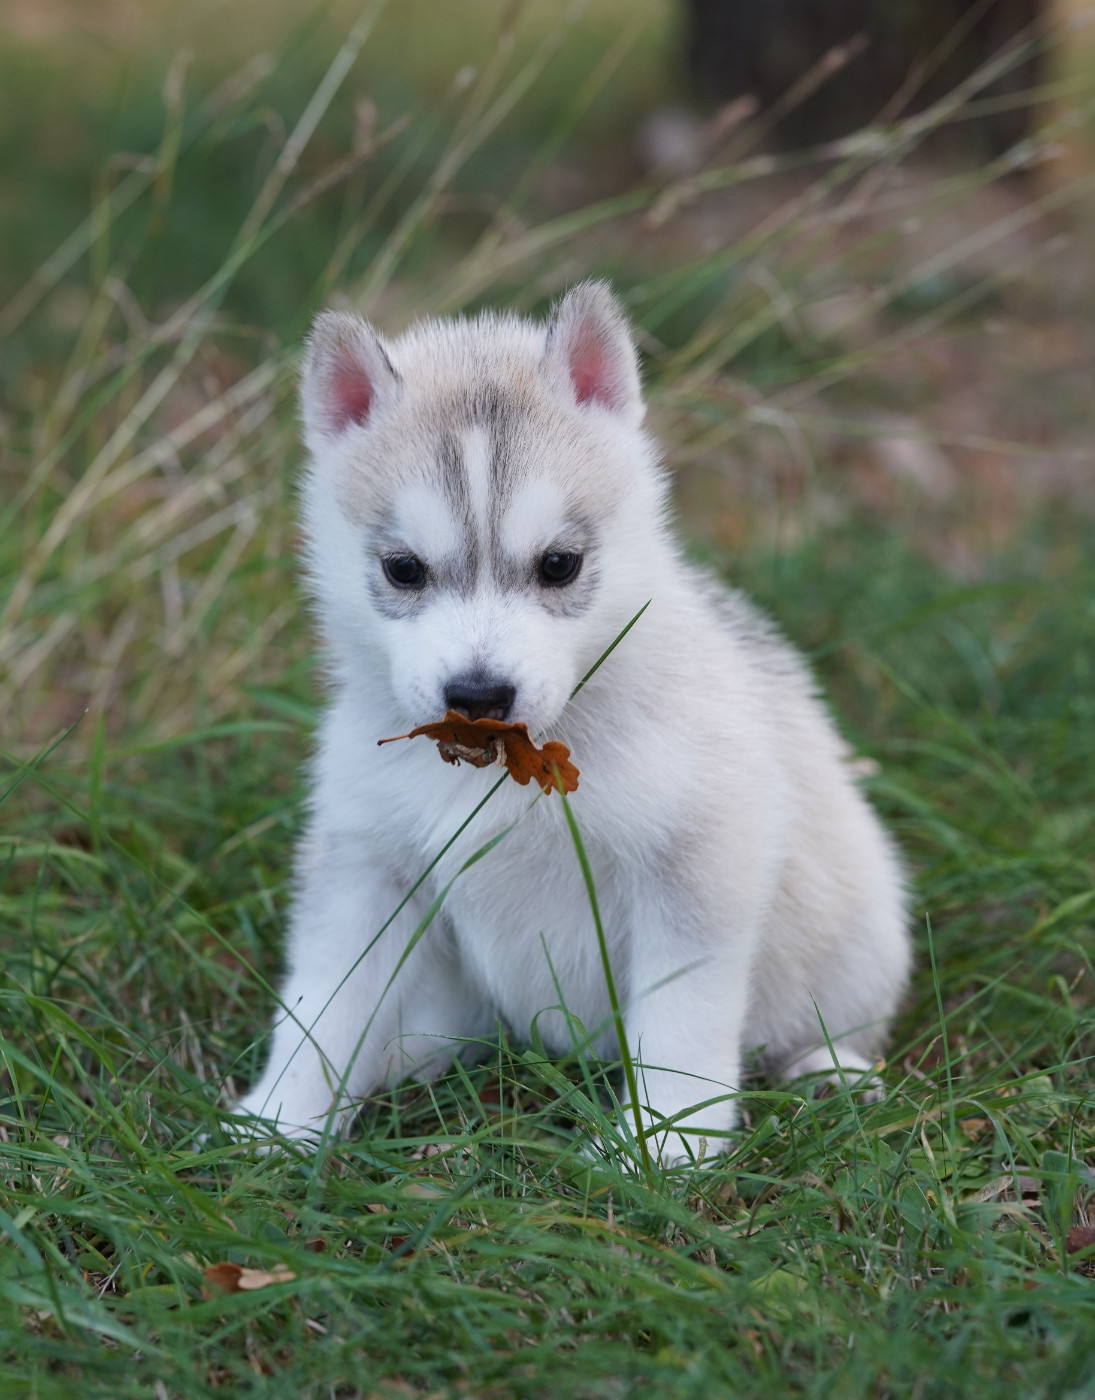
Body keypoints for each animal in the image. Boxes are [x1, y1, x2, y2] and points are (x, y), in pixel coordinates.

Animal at [235, 281, 910, 1163]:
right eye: (403, 569)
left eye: (559, 566)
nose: (478, 694)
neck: (500, 771)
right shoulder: (363, 866)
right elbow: (322, 1004)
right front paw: (279, 1122)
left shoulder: (697, 866)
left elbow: (681, 1023)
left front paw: (665, 1146)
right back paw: (404, 1060)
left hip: (862, 934)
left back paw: (829, 1071)